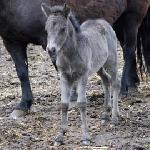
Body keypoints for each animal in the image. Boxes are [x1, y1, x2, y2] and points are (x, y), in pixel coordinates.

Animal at [0, 0, 149, 118]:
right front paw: (23, 105)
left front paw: (71, 97)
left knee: (128, 51)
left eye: (62, 29)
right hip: (118, 22)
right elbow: (22, 73)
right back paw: (132, 83)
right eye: (47, 29)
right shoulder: (12, 41)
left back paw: (125, 87)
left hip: (131, 18)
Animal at [41, 3, 120, 145]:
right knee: (106, 80)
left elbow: (82, 103)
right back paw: (106, 113)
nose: (51, 50)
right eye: (46, 29)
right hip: (98, 66)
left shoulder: (83, 75)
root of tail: (103, 22)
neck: (70, 54)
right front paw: (60, 136)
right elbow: (64, 104)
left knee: (115, 83)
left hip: (111, 61)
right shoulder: (64, 76)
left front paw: (85, 137)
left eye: (63, 29)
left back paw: (114, 118)